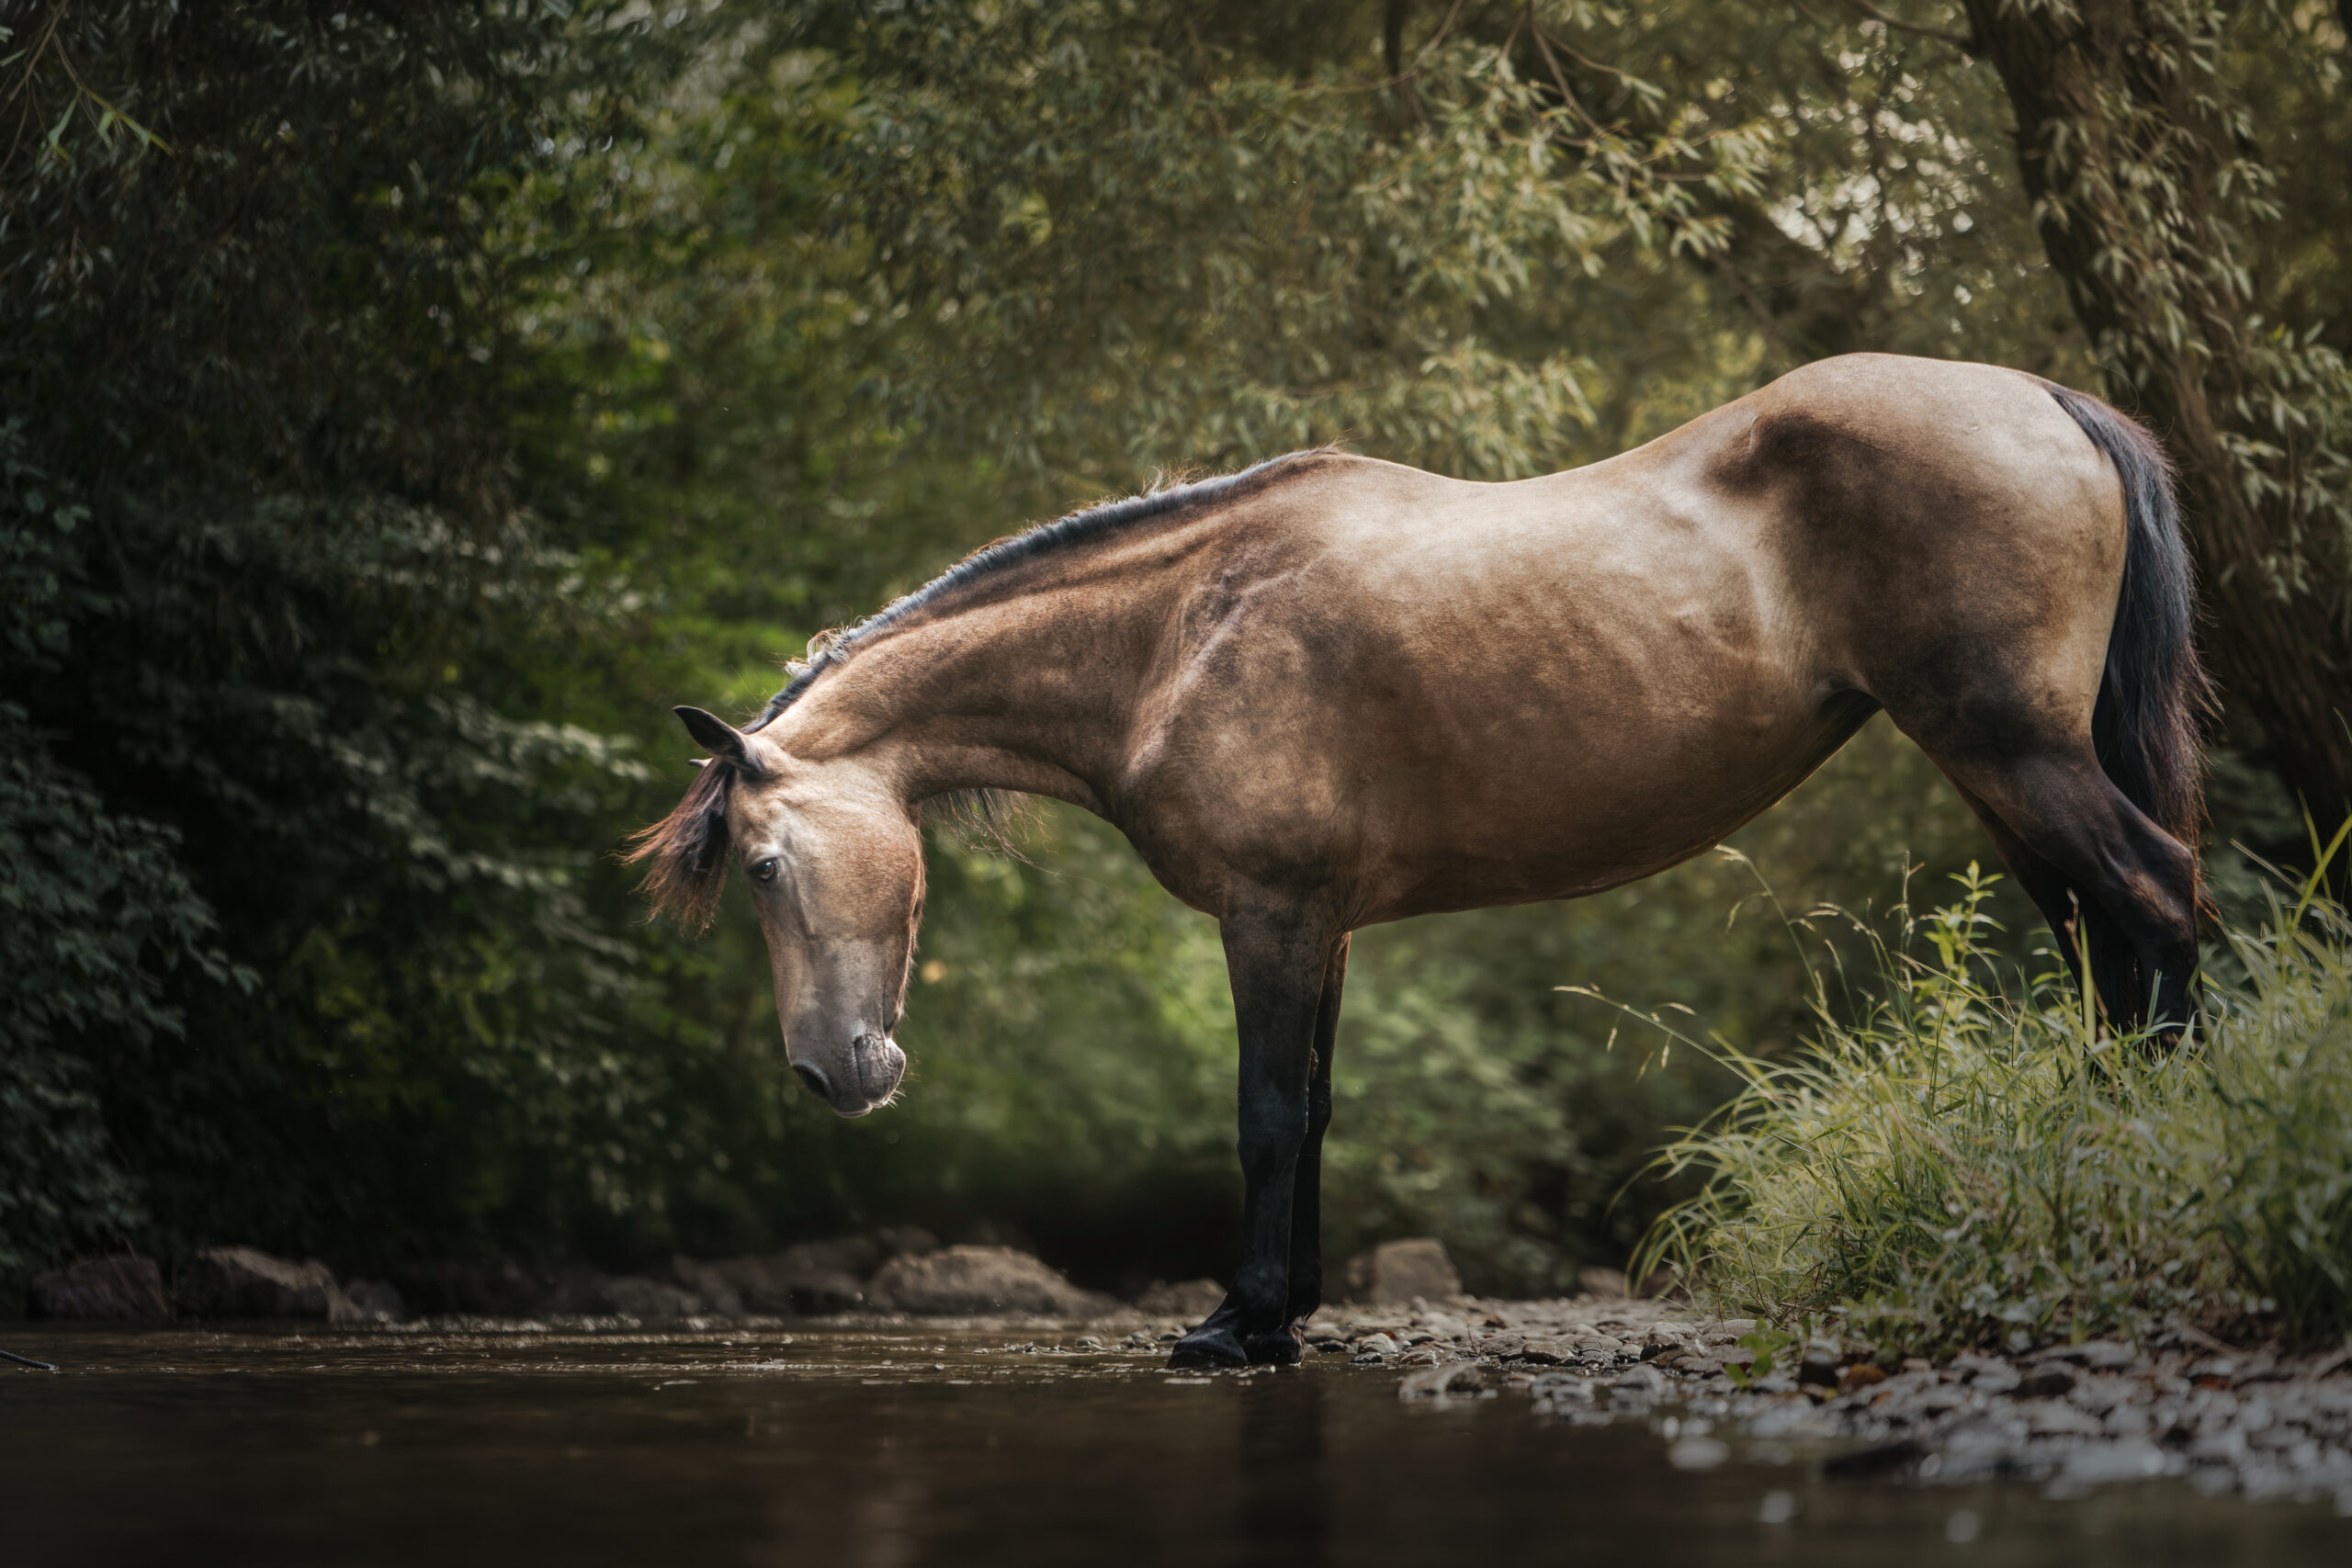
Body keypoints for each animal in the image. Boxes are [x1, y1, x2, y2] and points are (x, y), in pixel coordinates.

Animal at [631, 353, 2207, 1369]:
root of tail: (2047, 401)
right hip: (2002, 771)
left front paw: (1237, 1323)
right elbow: (1321, 1111)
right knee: (2101, 934)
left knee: (2153, 900)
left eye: (761, 865)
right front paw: (1286, 1310)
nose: (832, 1073)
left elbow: (1266, 1114)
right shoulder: (1324, 922)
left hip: (2009, 747)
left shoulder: (1268, 914)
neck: (1174, 631)